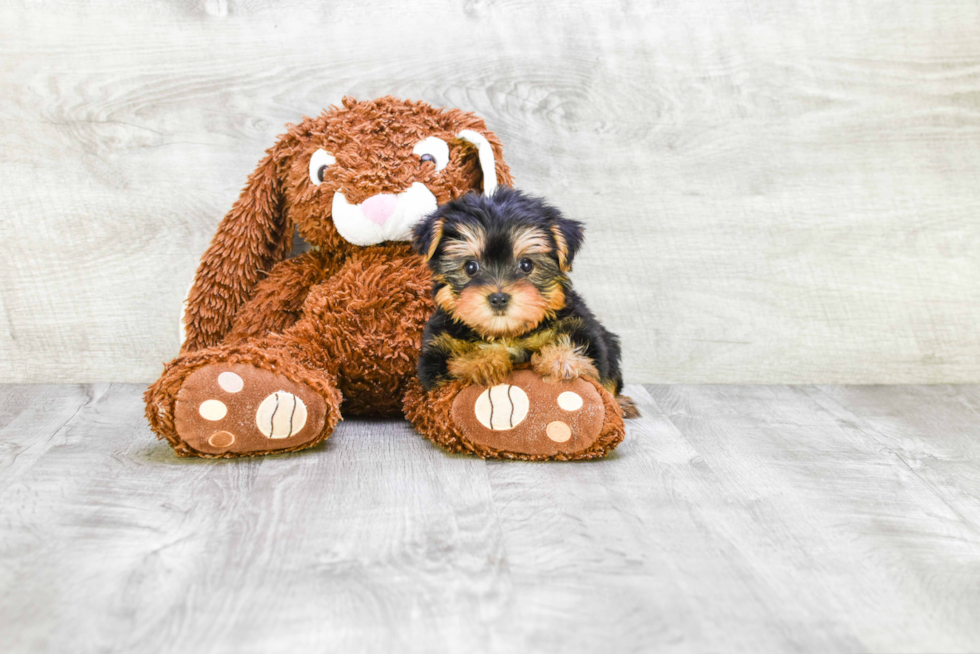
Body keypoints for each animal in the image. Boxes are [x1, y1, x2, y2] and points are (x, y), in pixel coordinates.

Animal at [412, 187, 636, 418]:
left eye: (526, 264)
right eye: (470, 267)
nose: (498, 298)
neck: (506, 334)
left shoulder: (581, 325)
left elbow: (586, 350)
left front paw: (560, 361)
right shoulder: (435, 354)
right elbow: (454, 363)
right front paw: (485, 361)